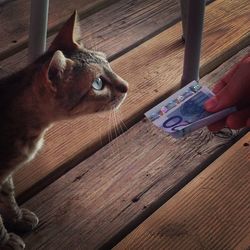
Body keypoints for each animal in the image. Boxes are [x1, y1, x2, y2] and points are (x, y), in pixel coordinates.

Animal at [0, 11, 128, 250]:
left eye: (108, 63)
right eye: (98, 84)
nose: (126, 85)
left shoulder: (5, 177)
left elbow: (8, 197)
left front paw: (17, 217)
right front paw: (6, 240)